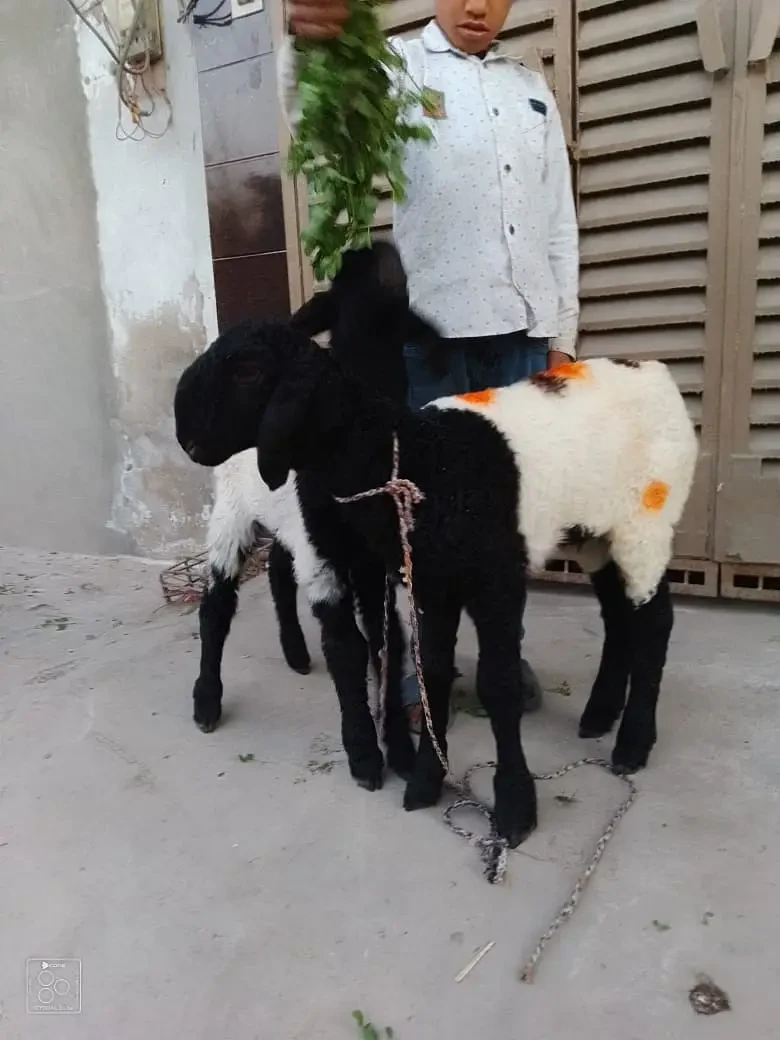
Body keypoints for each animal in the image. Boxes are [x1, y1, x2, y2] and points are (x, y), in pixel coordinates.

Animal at [175, 327, 698, 848]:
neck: (417, 461)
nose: (185, 435)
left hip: (645, 520)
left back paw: (632, 743)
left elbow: (497, 684)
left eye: (248, 370)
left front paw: (514, 808)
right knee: (619, 615)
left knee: (654, 622)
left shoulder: (494, 580)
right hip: (597, 532)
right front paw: (426, 778)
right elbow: (430, 668)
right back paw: (599, 715)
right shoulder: (427, 581)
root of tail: (653, 371)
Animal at [189, 242, 442, 793]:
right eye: (345, 305)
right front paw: (365, 756)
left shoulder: (375, 563)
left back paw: (296, 653)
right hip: (233, 513)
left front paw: (400, 752)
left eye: (401, 315)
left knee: (279, 575)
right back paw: (206, 702)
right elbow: (348, 648)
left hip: (290, 527)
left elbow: (387, 643)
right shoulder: (326, 555)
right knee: (216, 602)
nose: (385, 254)